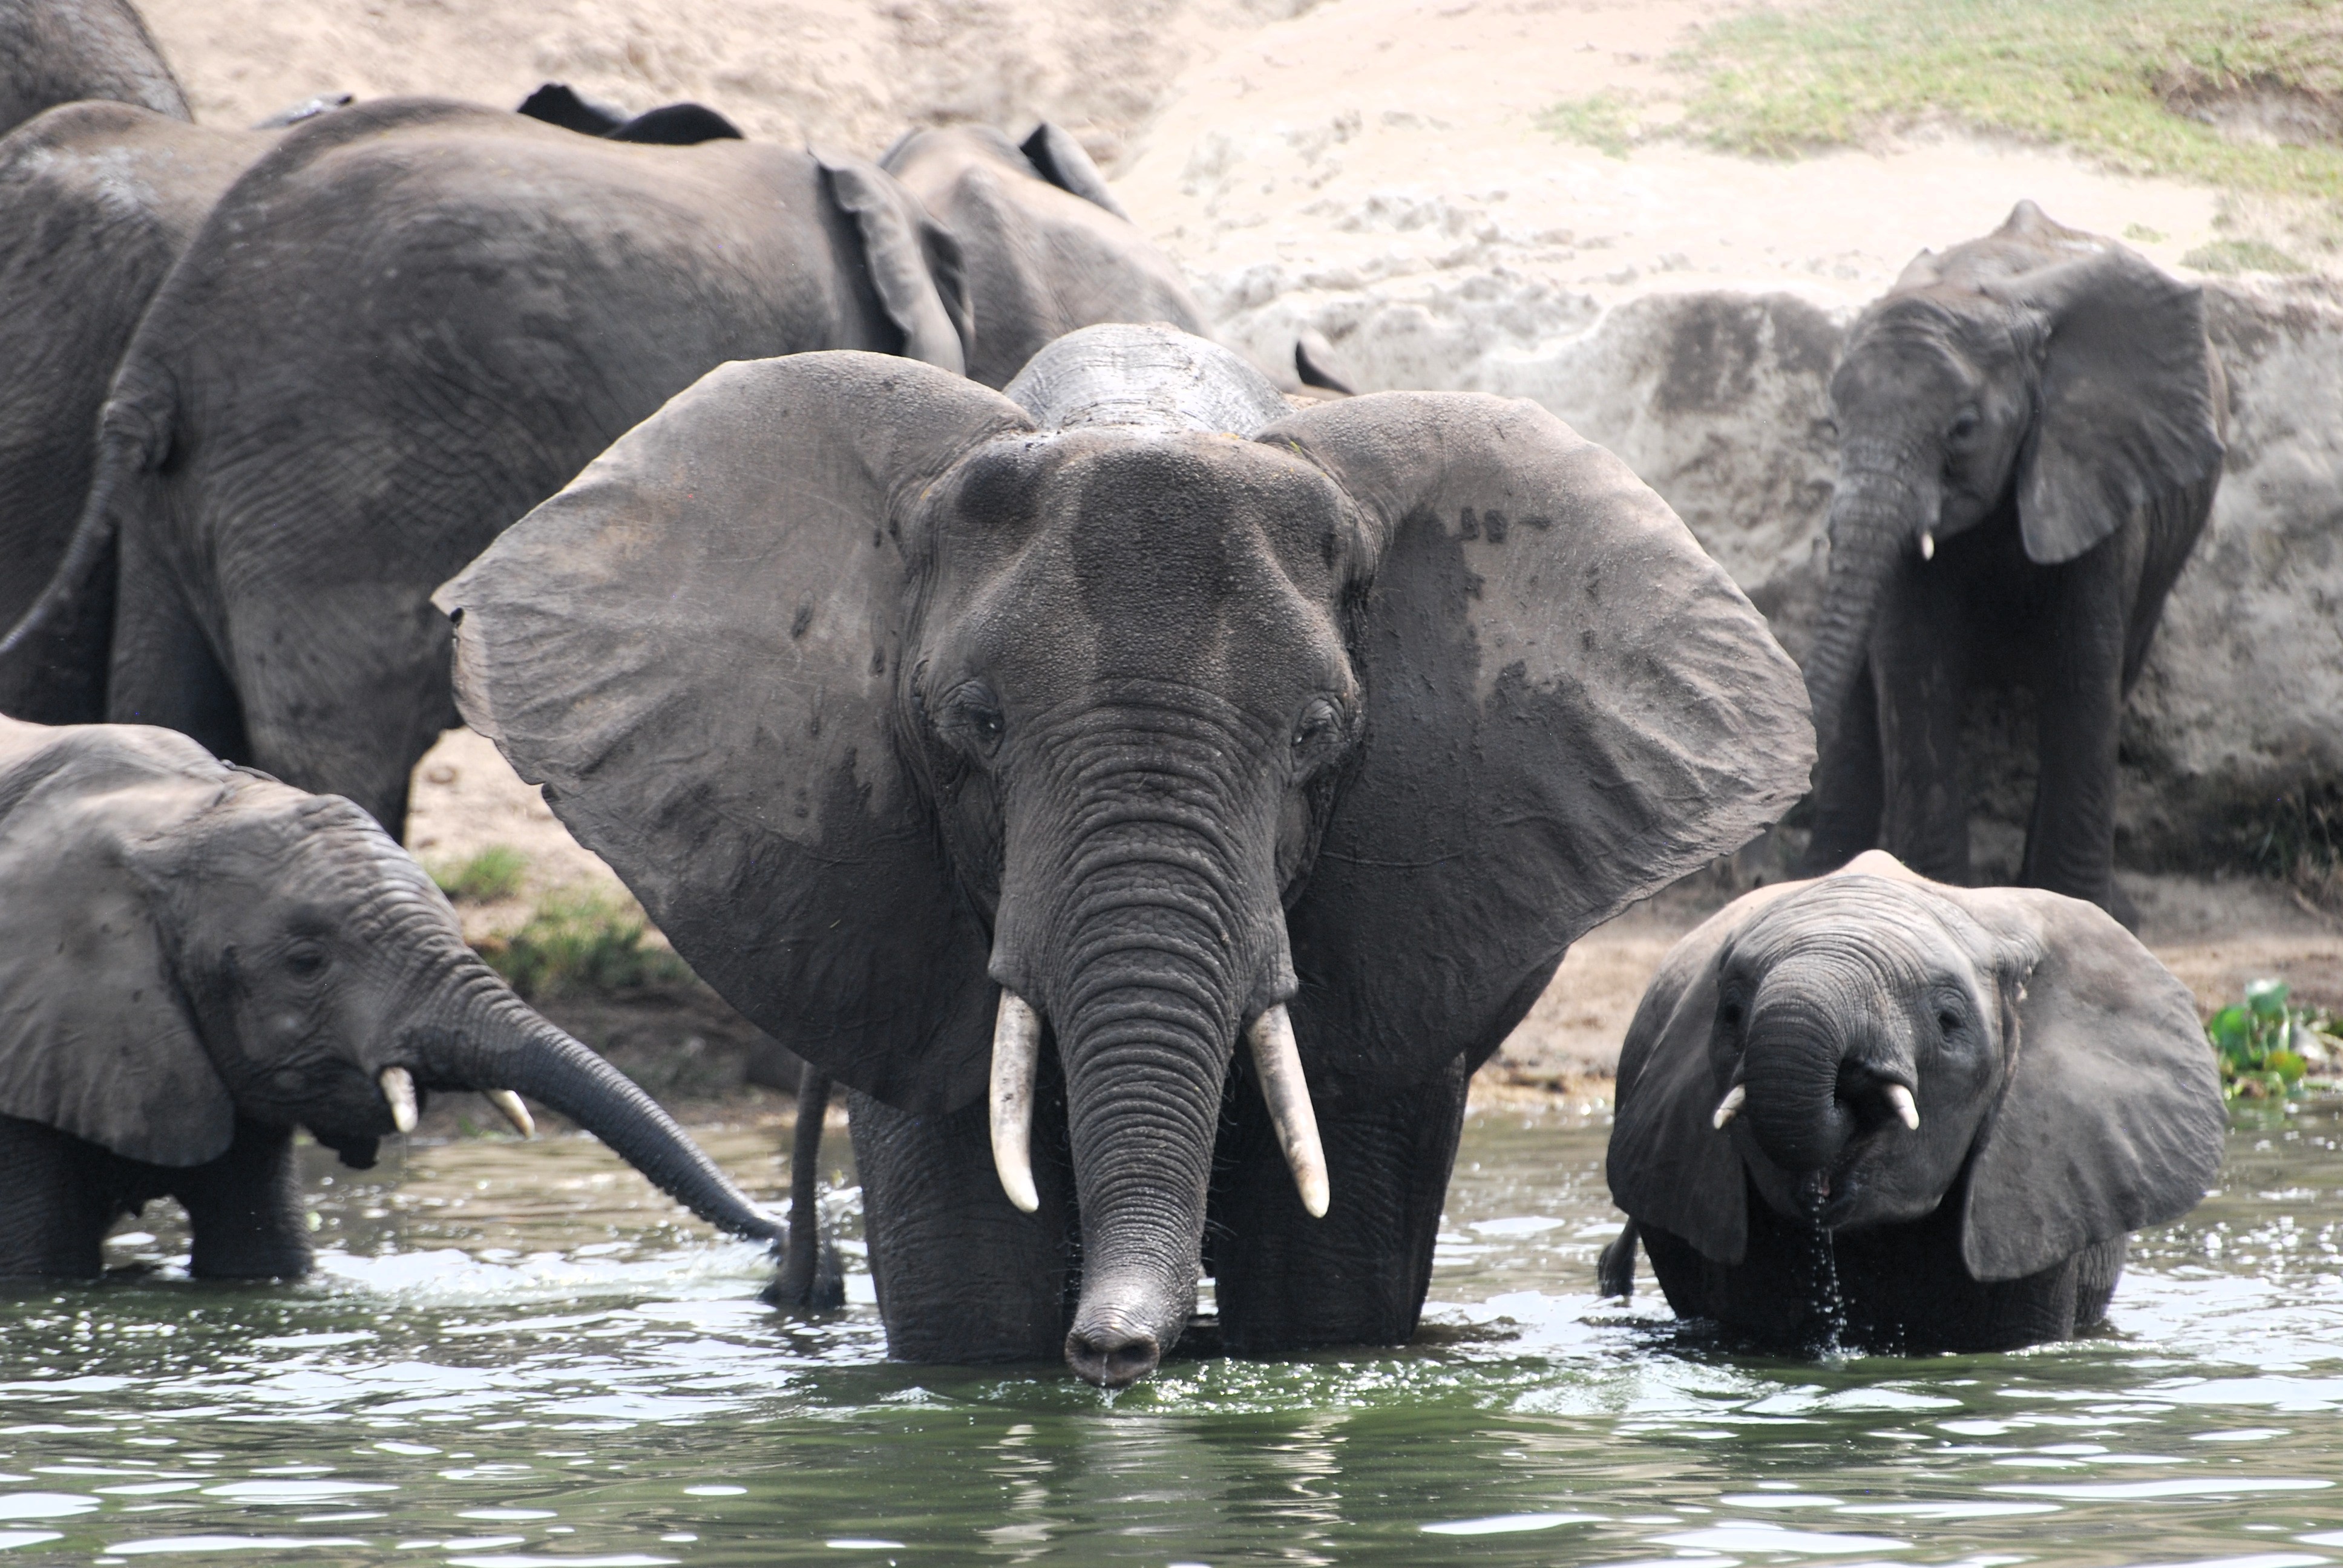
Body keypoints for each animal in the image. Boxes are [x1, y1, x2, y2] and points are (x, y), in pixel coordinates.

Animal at [1793, 202, 2227, 925]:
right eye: (1832, 425)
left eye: (1963, 429)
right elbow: (1915, 672)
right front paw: (1934, 897)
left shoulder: (2094, 472)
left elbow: (2082, 680)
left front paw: (2083, 914)